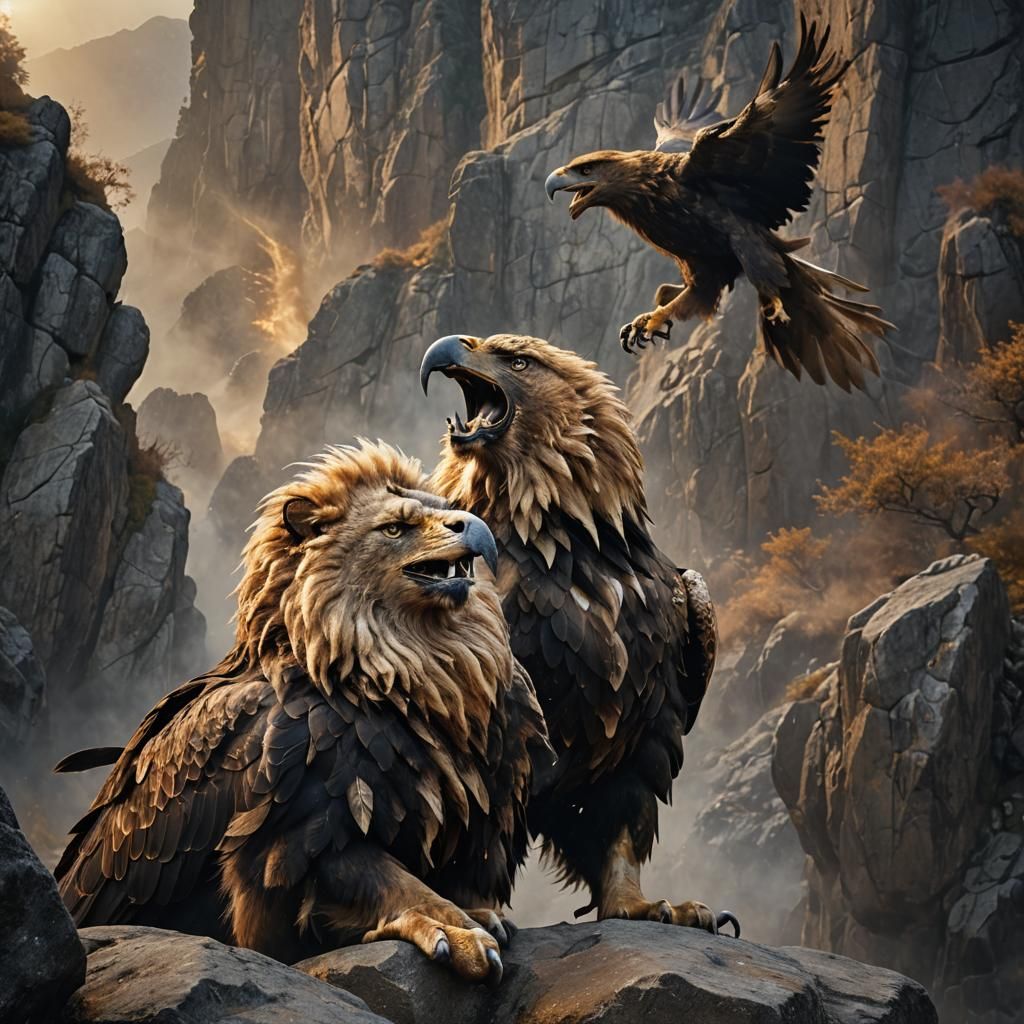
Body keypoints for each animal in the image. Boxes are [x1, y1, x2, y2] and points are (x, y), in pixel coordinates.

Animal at [54, 441, 548, 984]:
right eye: (394, 528)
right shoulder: (297, 812)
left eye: (446, 510)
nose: (474, 527)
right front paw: (450, 927)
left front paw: (476, 911)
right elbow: (367, 876)